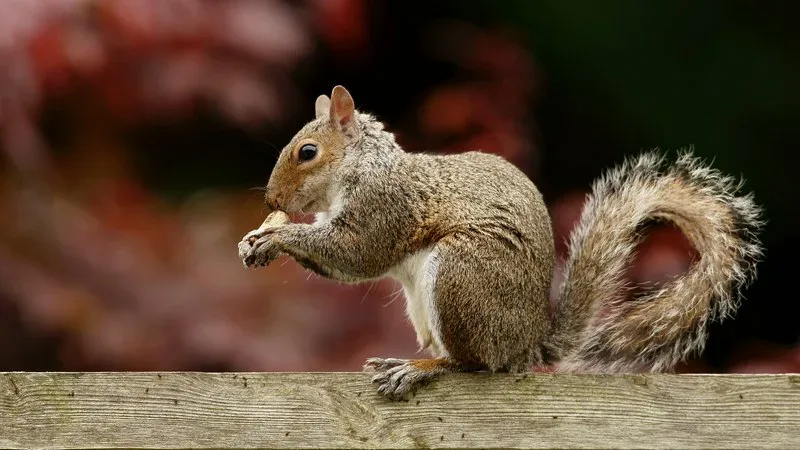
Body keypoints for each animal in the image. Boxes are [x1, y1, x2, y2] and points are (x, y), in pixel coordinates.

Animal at [237, 85, 764, 400]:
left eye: (308, 152)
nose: (271, 199)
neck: (362, 167)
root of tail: (526, 345)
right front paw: (257, 237)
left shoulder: (385, 208)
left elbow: (357, 254)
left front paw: (277, 235)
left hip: (461, 274)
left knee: (473, 364)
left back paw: (420, 369)